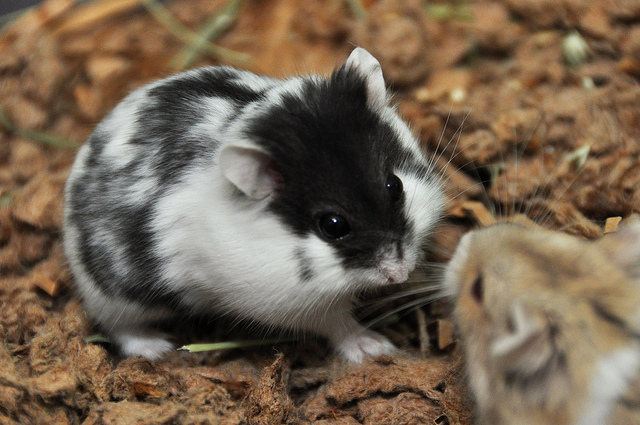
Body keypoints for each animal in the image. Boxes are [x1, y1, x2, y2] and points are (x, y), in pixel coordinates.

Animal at [63, 48, 444, 362]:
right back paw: (158, 348)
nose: (400, 273)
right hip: (114, 299)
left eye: (395, 186)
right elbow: (338, 324)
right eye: (333, 226)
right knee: (120, 328)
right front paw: (377, 349)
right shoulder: (297, 305)